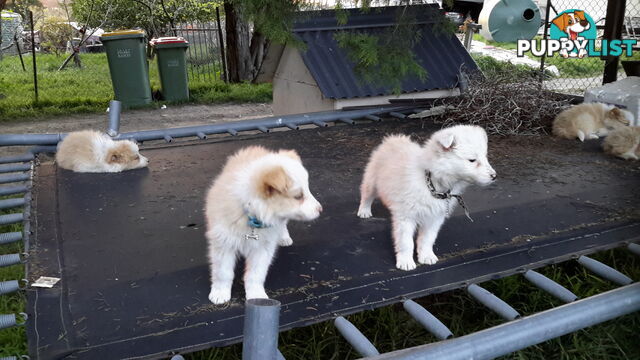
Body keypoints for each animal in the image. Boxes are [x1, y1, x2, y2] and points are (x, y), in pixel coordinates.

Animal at [205, 146, 322, 304]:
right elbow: (223, 272)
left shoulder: (263, 248)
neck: (252, 215)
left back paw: (284, 237)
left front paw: (256, 296)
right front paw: (220, 293)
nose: (320, 209)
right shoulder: (223, 243)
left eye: (308, 189)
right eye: (298, 196)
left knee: (283, 224)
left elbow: (256, 274)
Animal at [358, 126, 498, 270]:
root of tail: (394, 139)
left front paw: (426, 256)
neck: (431, 183)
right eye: (472, 160)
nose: (494, 176)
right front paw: (406, 261)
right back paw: (364, 211)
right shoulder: (406, 217)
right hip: (372, 180)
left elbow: (427, 239)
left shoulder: (435, 217)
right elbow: (406, 242)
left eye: (485, 157)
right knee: (366, 195)